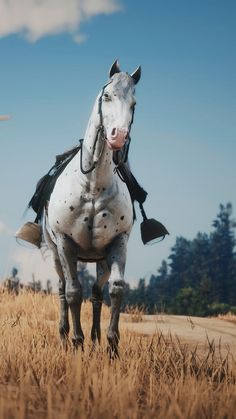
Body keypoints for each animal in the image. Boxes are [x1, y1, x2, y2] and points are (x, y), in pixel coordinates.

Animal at [42, 60, 140, 354]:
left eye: (134, 104)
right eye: (106, 96)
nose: (118, 136)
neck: (93, 185)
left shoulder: (118, 243)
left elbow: (116, 289)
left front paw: (112, 344)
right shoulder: (65, 243)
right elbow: (74, 292)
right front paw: (76, 341)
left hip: (101, 259)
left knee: (97, 293)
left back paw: (96, 337)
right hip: (56, 252)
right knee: (63, 288)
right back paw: (64, 334)